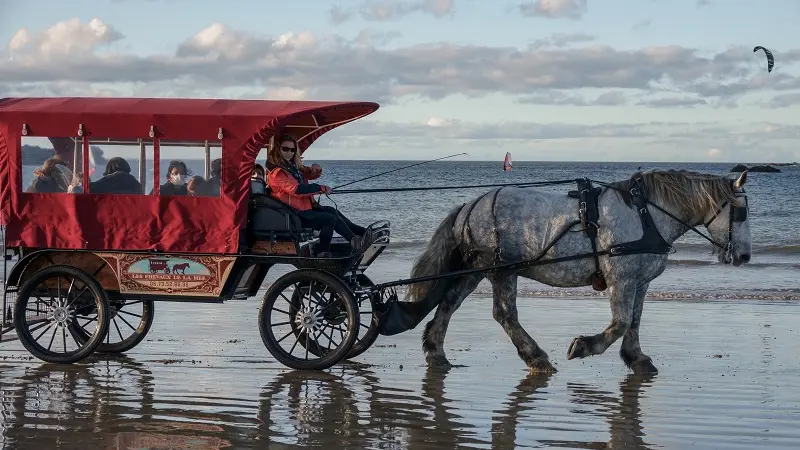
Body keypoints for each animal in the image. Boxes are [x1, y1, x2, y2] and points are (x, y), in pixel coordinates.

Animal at [406, 169, 752, 372]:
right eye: (742, 212)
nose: (745, 256)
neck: (646, 214)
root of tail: (472, 204)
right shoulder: (621, 279)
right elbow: (620, 322)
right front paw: (585, 346)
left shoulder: (640, 282)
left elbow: (634, 321)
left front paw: (636, 358)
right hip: (503, 270)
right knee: (504, 314)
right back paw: (536, 357)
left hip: (476, 269)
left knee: (449, 303)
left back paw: (436, 351)